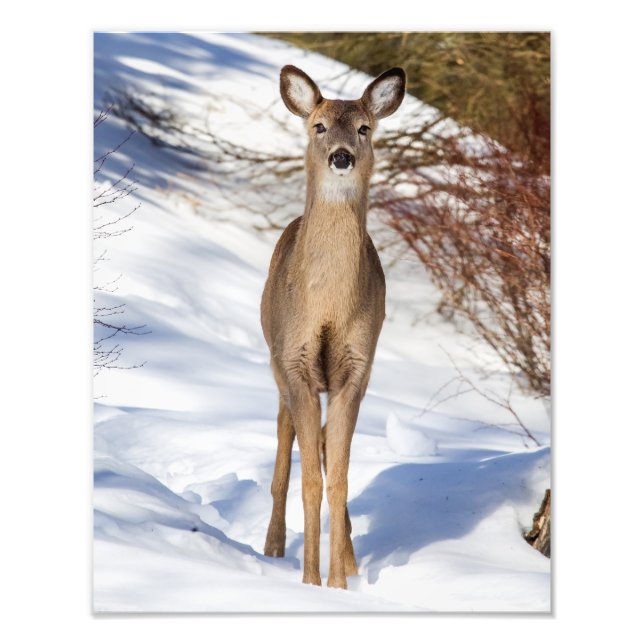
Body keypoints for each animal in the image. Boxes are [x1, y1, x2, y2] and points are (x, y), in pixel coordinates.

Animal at [261, 65, 406, 589]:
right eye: (319, 126)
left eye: (364, 128)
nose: (341, 156)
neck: (327, 307)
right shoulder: (296, 361)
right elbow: (309, 480)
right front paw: (310, 582)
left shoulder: (355, 369)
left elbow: (339, 476)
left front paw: (340, 583)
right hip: (276, 361)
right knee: (285, 444)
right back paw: (273, 546)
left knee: (323, 445)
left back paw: (349, 559)